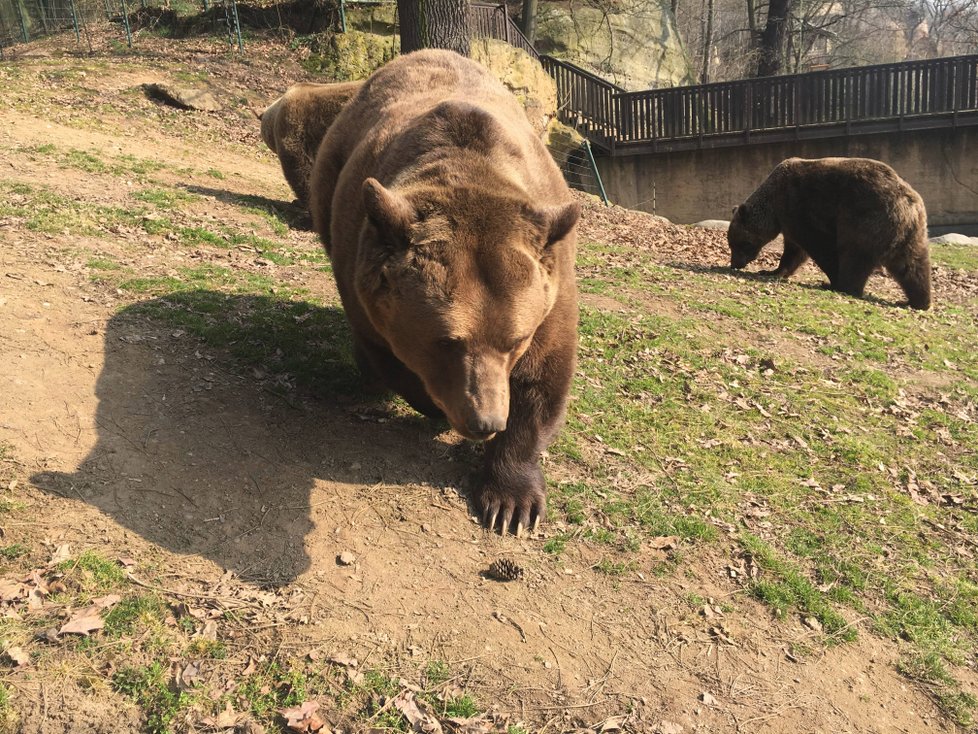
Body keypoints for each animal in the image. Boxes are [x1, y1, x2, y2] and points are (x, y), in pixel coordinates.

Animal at [306, 50, 580, 536]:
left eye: (515, 340)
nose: (485, 420)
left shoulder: (550, 288)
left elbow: (542, 380)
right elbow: (389, 358)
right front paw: (431, 404)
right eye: (446, 341)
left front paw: (511, 503)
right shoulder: (363, 286)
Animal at [724, 158, 932, 310]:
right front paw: (772, 271)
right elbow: (794, 251)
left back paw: (842, 285)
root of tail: (908, 203)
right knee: (912, 265)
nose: (735, 263)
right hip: (910, 232)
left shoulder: (799, 207)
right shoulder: (790, 220)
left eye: (738, 243)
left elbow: (816, 245)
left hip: (866, 219)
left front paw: (832, 277)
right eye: (732, 244)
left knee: (855, 256)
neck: (773, 207)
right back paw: (918, 301)